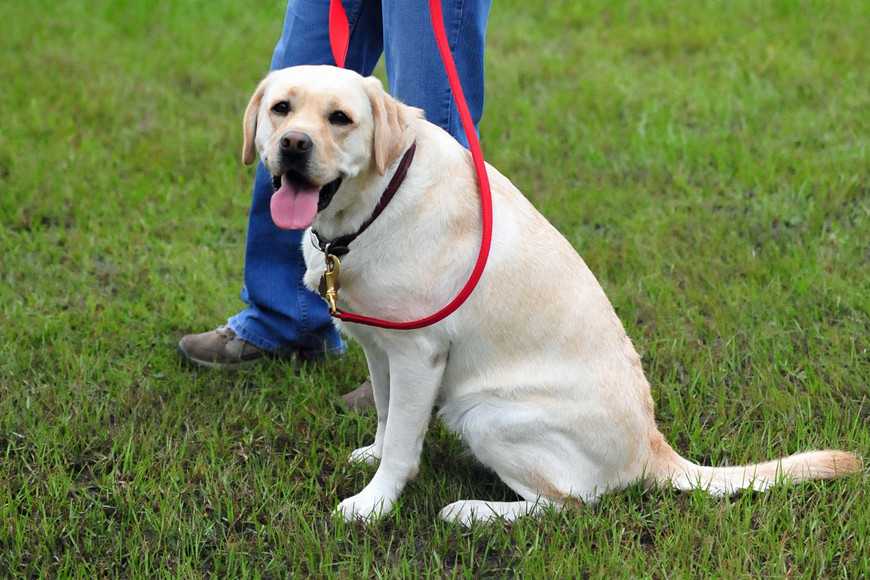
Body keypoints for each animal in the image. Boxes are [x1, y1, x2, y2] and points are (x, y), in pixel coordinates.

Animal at [240, 64, 864, 524]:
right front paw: (371, 457)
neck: (376, 199)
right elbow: (389, 417)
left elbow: (402, 445)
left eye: (340, 118)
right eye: (281, 109)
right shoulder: (380, 347)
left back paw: (472, 512)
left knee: (569, 503)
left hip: (481, 411)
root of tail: (652, 449)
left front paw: (373, 504)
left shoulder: (419, 354)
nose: (293, 146)